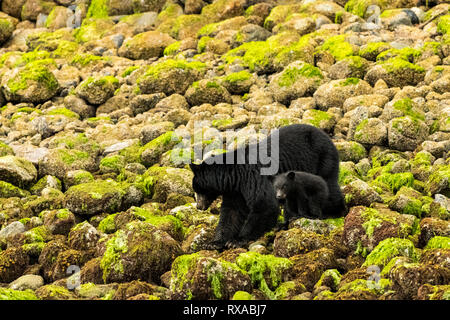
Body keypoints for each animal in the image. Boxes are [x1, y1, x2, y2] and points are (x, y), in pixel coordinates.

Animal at [190, 124, 344, 249]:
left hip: (322, 159)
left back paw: (335, 212)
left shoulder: (254, 176)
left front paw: (237, 240)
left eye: (197, 190)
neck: (234, 175)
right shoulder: (235, 190)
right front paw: (215, 242)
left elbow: (264, 205)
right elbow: (231, 212)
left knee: (329, 186)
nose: (199, 206)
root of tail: (326, 136)